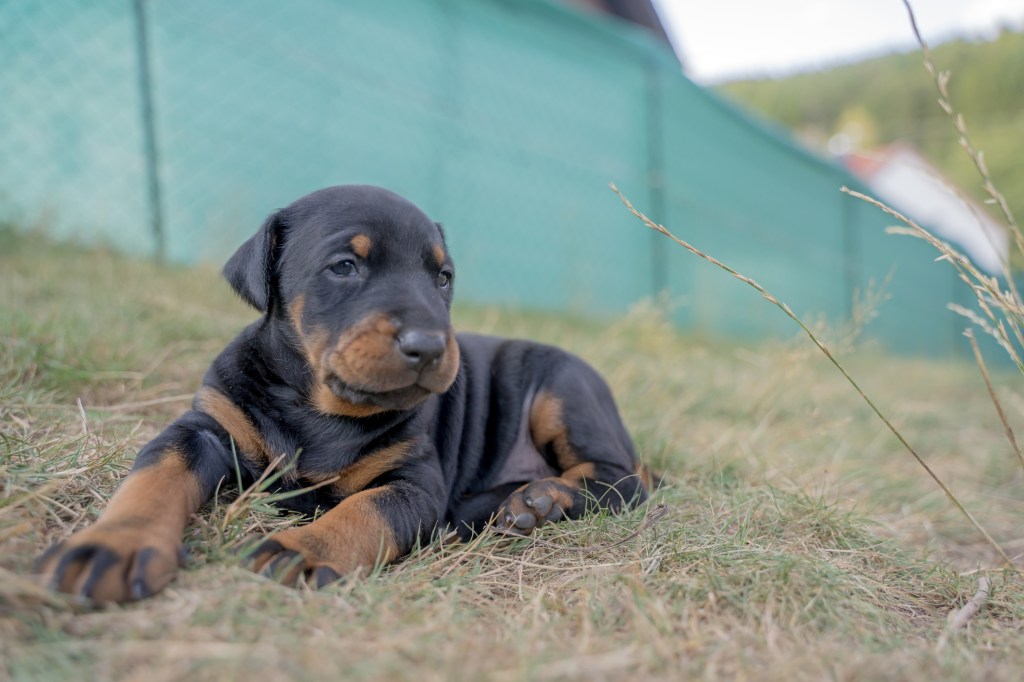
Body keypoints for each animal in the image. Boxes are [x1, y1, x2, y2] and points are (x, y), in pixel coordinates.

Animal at [41, 186, 647, 602]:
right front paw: (114, 545)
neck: (321, 406)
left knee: (624, 481)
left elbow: (364, 511)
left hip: (565, 386)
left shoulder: (412, 482)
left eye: (443, 277)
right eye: (344, 266)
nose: (430, 345)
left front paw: (299, 550)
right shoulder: (206, 428)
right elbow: (157, 475)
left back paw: (542, 499)